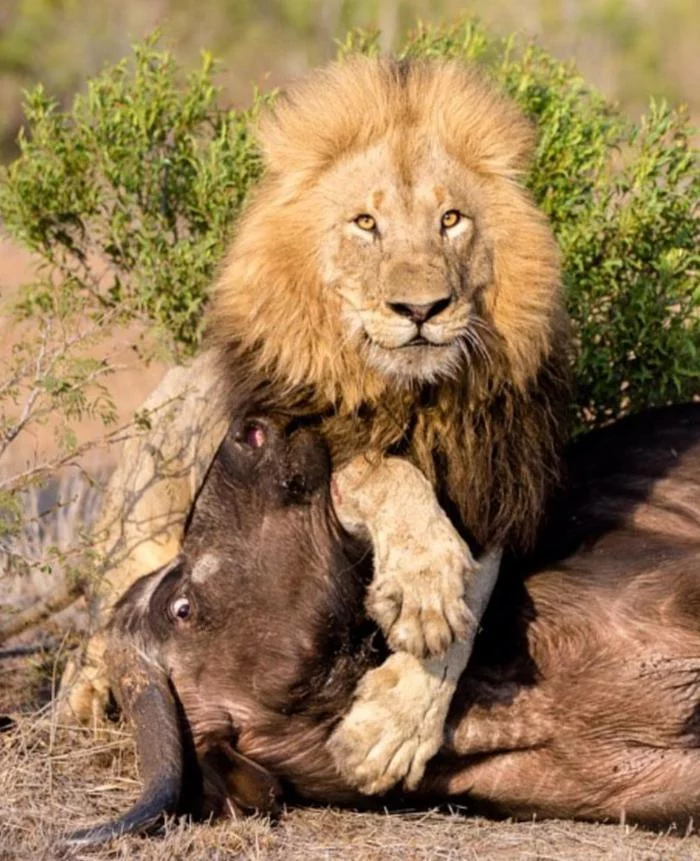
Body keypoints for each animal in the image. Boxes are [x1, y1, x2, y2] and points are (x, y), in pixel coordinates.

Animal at [58, 57, 568, 800]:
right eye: (365, 223)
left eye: (451, 220)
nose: (422, 308)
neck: (411, 399)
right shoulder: (303, 449)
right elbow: (385, 472)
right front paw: (421, 584)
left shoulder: (486, 490)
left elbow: (472, 601)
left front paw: (390, 726)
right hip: (137, 522)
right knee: (102, 627)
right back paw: (88, 696)